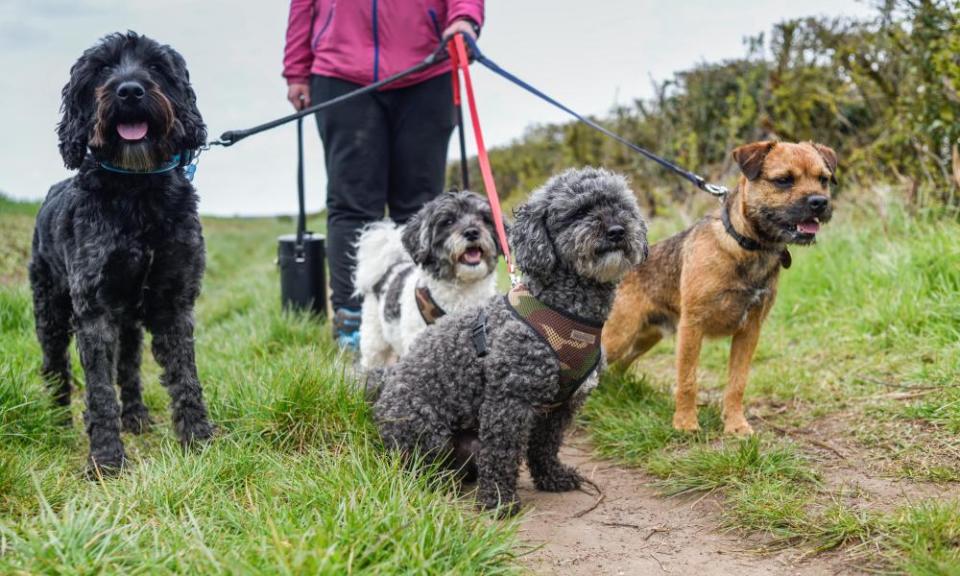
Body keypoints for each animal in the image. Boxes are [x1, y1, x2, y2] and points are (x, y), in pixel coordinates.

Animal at [29, 31, 214, 474]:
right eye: (102, 68)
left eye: (156, 66)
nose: (129, 90)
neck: (137, 188)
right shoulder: (93, 307)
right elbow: (98, 389)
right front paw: (106, 458)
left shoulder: (173, 299)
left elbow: (185, 374)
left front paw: (198, 439)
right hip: (50, 309)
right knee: (56, 365)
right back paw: (58, 420)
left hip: (129, 317)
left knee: (129, 366)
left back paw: (136, 417)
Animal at [608, 142, 832, 434]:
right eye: (784, 180)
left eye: (823, 179)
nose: (820, 202)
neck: (746, 245)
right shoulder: (692, 327)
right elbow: (688, 380)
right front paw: (685, 423)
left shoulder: (749, 331)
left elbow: (737, 382)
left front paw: (736, 425)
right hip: (619, 335)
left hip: (645, 338)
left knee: (617, 367)